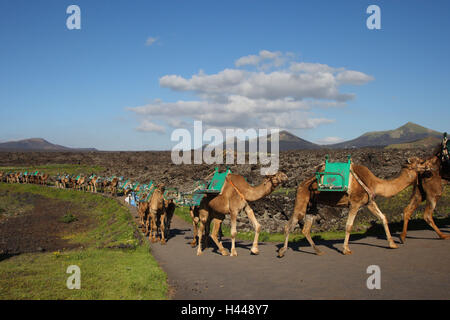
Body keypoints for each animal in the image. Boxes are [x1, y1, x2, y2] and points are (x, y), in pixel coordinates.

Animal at [280, 155, 430, 258]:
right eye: (420, 162)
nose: (429, 166)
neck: (375, 183)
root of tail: (300, 185)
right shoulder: (355, 203)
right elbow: (349, 226)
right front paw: (346, 249)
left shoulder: (369, 202)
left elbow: (383, 217)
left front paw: (392, 244)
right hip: (302, 199)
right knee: (290, 224)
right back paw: (282, 251)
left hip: (312, 205)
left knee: (305, 228)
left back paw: (318, 251)